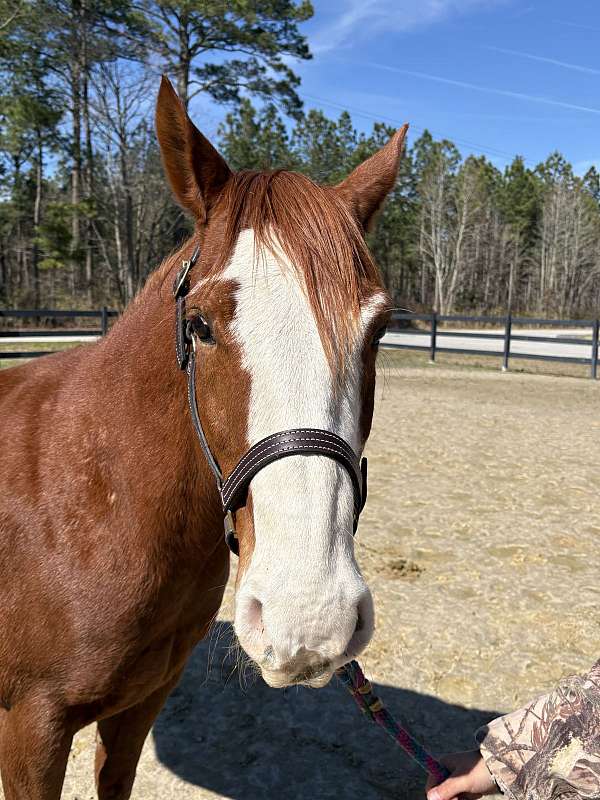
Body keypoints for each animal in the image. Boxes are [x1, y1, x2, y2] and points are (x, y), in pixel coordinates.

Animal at [0, 76, 408, 800]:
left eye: (379, 328)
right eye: (200, 325)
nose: (309, 619)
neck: (97, 503)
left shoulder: (141, 703)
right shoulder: (29, 730)